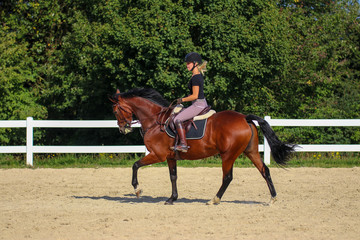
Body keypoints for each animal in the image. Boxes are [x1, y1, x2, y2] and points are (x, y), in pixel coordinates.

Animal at [111, 87, 296, 204]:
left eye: (116, 110)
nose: (122, 128)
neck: (156, 121)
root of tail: (245, 118)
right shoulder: (170, 157)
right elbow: (173, 176)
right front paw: (172, 198)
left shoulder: (158, 155)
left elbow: (135, 165)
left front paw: (137, 190)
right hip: (250, 152)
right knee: (265, 171)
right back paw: (272, 198)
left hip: (228, 155)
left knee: (227, 177)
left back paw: (214, 199)